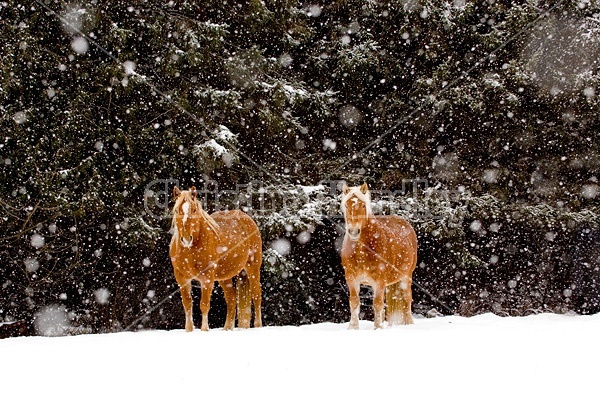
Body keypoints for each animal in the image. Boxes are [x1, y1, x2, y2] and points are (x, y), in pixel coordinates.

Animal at [169, 187, 262, 332]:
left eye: (194, 209)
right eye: (177, 210)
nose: (186, 239)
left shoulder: (207, 277)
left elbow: (204, 304)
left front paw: (204, 329)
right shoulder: (181, 278)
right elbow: (187, 304)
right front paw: (189, 329)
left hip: (253, 267)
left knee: (256, 295)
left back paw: (258, 325)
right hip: (225, 277)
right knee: (231, 299)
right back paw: (227, 328)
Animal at [340, 183, 420, 330]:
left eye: (363, 205)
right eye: (347, 205)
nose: (353, 231)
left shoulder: (379, 280)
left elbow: (377, 304)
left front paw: (377, 328)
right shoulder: (351, 278)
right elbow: (354, 302)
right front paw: (353, 328)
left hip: (406, 277)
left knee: (407, 299)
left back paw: (409, 324)